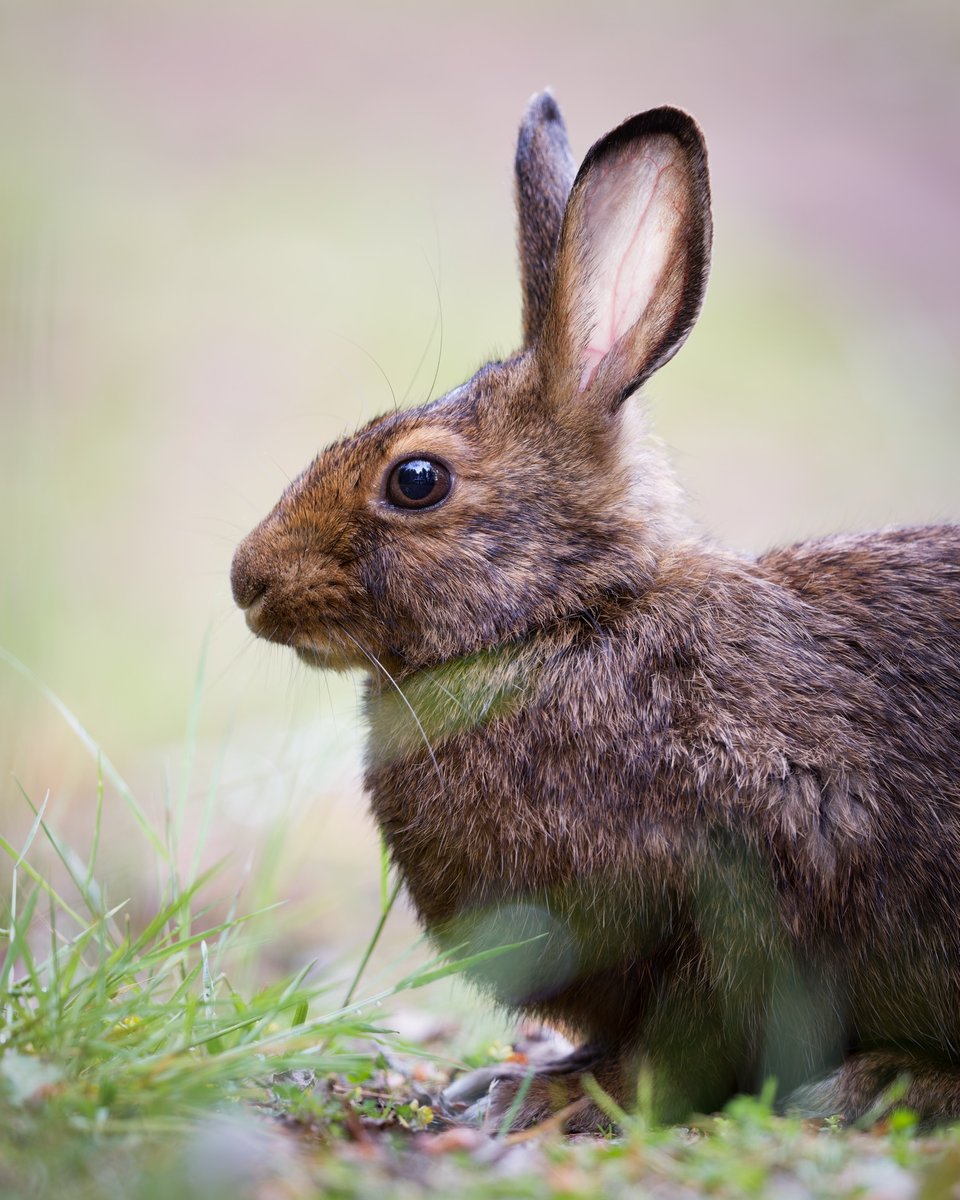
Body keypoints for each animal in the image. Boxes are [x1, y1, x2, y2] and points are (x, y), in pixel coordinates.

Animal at [230, 92, 960, 1131]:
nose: (247, 581)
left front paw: (547, 1098)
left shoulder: (742, 897)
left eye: (416, 480)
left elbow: (678, 1049)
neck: (568, 618)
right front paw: (507, 1083)